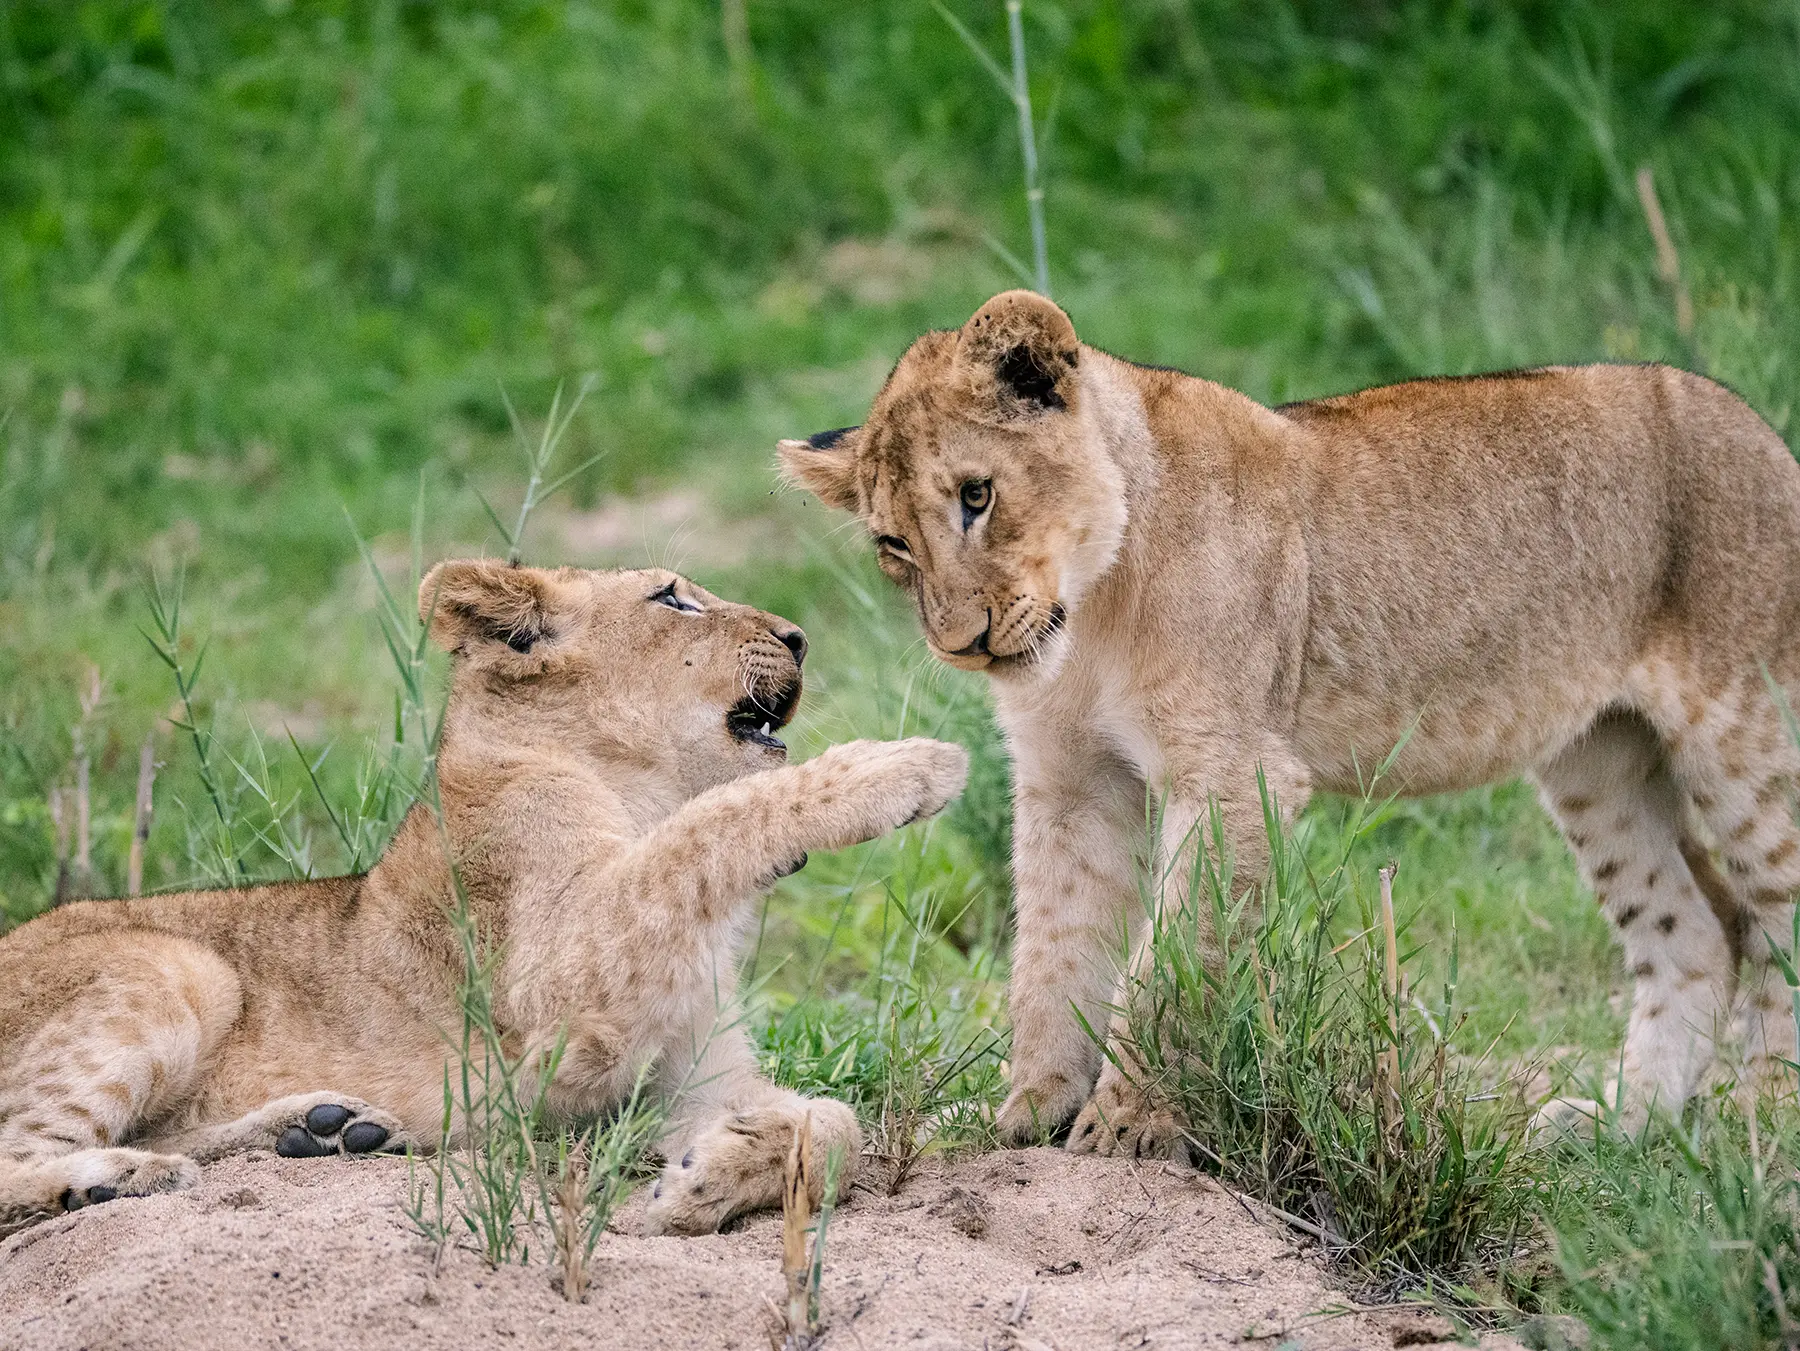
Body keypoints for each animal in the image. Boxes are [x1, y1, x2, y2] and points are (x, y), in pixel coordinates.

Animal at [0, 560, 968, 1236]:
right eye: (672, 598)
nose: (800, 637)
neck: (634, 788)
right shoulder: (560, 997)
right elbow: (706, 827)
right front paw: (901, 768)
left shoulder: (680, 1076)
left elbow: (836, 1122)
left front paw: (700, 1183)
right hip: (177, 968)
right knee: (20, 1143)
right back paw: (112, 1177)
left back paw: (323, 1128)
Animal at [780, 288, 1800, 1151]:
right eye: (893, 543)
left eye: (978, 495)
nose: (965, 644)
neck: (1093, 609)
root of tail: (1759, 427)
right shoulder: (1068, 779)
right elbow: (1053, 951)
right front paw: (1031, 1111)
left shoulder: (1236, 773)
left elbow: (1168, 962)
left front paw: (1124, 1125)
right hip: (1598, 759)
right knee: (1692, 927)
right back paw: (1623, 1127)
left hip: (1745, 733)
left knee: (1775, 919)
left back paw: (1761, 1131)